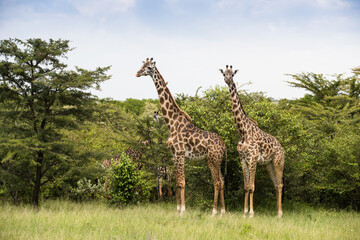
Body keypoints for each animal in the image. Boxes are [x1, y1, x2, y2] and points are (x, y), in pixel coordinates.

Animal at [136, 58, 226, 216]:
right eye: (142, 65)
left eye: (148, 67)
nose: (137, 73)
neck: (172, 123)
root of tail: (224, 146)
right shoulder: (174, 155)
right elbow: (177, 182)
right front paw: (177, 208)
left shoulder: (180, 153)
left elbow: (182, 182)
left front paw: (183, 209)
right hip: (216, 160)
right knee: (222, 181)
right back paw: (223, 211)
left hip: (212, 160)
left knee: (217, 182)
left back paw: (214, 211)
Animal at [218, 65, 286, 218]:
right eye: (224, 74)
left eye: (233, 74)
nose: (227, 80)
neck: (243, 131)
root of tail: (282, 148)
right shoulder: (243, 159)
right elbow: (246, 186)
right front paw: (244, 212)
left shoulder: (253, 158)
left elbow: (252, 187)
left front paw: (251, 213)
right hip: (268, 164)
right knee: (275, 184)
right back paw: (276, 211)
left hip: (278, 161)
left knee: (280, 184)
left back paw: (280, 213)